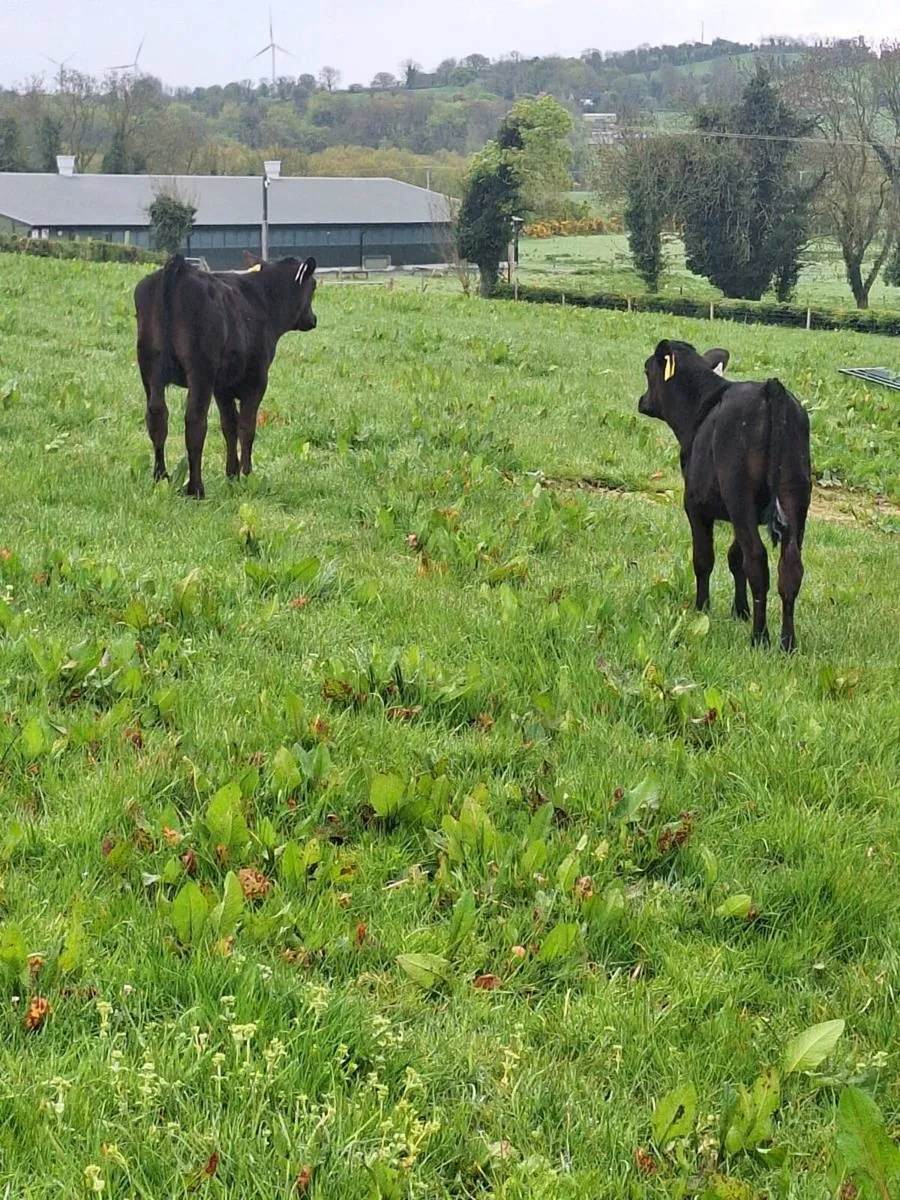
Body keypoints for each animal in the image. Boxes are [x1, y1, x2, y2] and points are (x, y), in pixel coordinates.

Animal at [134, 253, 318, 498]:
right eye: (314, 286)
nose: (313, 319)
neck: (262, 300)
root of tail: (179, 268)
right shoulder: (257, 380)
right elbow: (246, 427)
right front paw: (247, 475)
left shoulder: (223, 387)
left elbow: (229, 425)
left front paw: (232, 474)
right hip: (200, 370)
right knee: (195, 421)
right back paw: (196, 488)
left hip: (149, 369)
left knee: (157, 416)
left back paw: (161, 478)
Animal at [638, 339, 812, 651]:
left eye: (647, 369)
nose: (642, 400)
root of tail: (771, 388)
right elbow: (734, 558)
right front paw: (739, 611)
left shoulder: (696, 506)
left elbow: (704, 559)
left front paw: (701, 609)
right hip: (794, 497)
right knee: (790, 567)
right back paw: (787, 642)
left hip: (739, 494)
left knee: (757, 561)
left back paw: (759, 637)